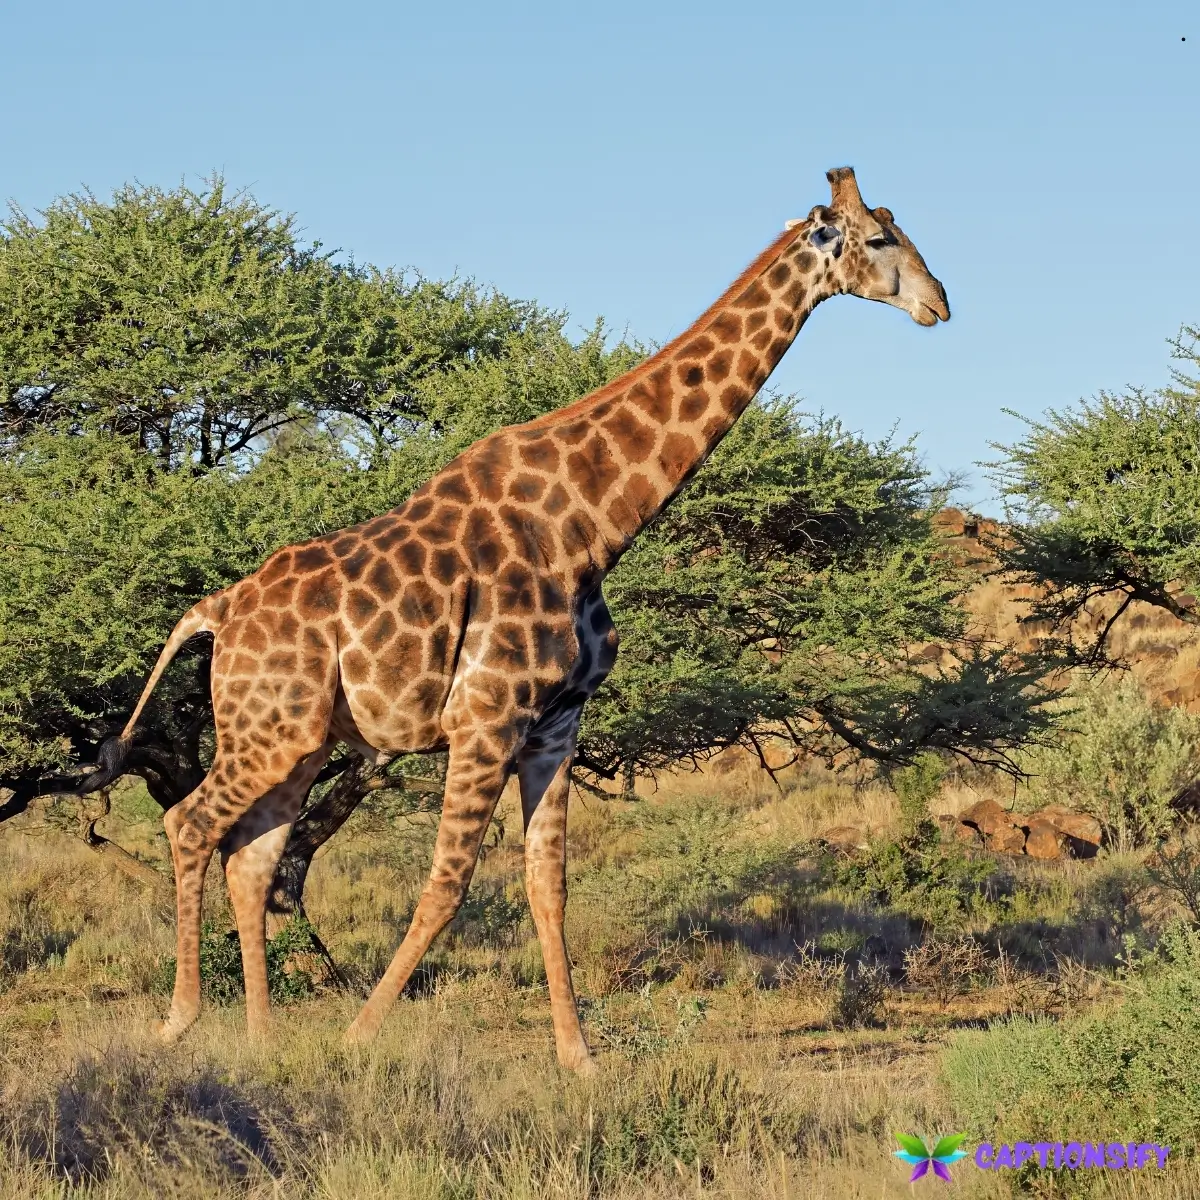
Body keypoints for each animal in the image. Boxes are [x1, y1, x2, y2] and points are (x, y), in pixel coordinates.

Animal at [80, 167, 949, 1073]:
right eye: (879, 239)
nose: (939, 304)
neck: (590, 526)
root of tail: (216, 610)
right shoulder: (486, 715)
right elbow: (447, 883)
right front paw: (361, 1033)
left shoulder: (556, 722)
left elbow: (547, 883)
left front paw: (579, 1058)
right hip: (269, 729)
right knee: (190, 824)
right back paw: (180, 1020)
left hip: (297, 736)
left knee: (251, 856)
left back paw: (261, 1038)